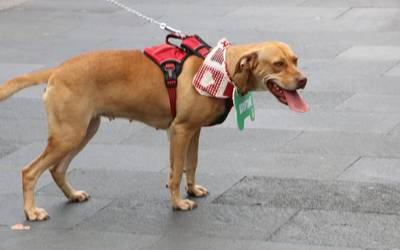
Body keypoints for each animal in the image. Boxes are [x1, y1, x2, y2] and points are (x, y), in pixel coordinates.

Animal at [0, 40, 308, 221]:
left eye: (296, 60)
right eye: (278, 64)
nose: (304, 80)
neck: (223, 68)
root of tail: (57, 70)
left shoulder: (194, 131)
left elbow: (191, 164)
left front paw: (192, 189)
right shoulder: (180, 130)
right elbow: (175, 171)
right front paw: (178, 202)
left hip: (84, 131)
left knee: (57, 169)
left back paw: (73, 195)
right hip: (68, 135)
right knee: (30, 171)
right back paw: (30, 211)